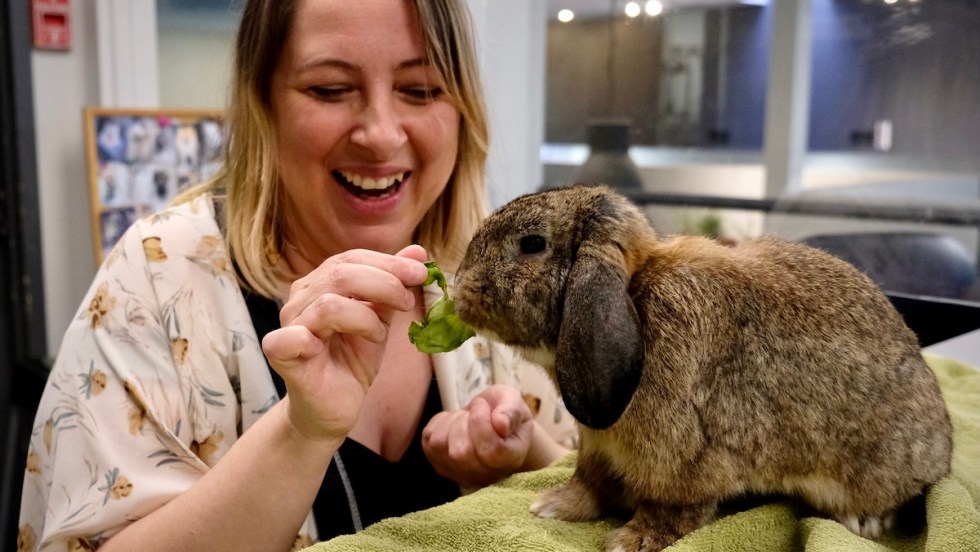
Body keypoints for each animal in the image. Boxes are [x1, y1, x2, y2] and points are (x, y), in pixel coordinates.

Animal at [453, 184, 953, 552]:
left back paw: (863, 519)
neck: (636, 300)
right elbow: (589, 485)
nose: (459, 291)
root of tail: (943, 451)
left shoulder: (680, 462)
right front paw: (553, 506)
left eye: (532, 244)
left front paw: (631, 540)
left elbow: (675, 509)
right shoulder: (597, 449)